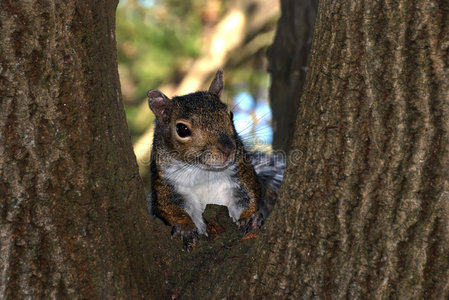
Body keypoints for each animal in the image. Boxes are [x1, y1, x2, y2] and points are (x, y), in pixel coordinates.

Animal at [149, 69, 286, 246]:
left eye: (231, 115)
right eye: (182, 129)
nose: (228, 150)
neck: (202, 171)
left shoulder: (241, 172)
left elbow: (250, 195)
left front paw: (250, 218)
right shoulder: (165, 183)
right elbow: (168, 207)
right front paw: (185, 227)